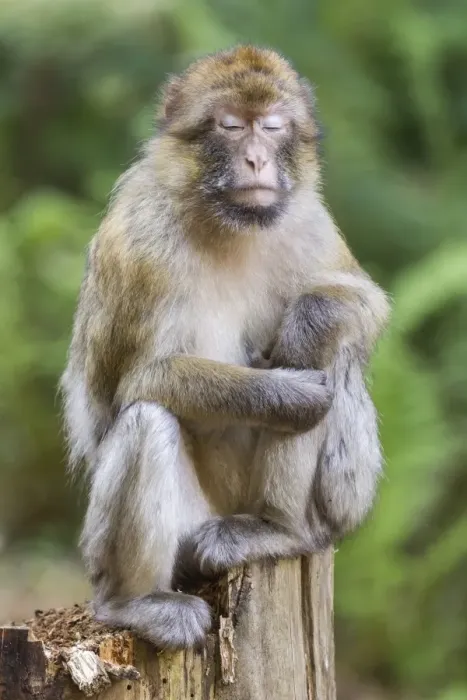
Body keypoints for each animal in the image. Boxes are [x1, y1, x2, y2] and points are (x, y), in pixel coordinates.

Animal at [60, 45, 390, 650]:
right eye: (231, 126)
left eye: (273, 127)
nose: (257, 159)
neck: (228, 224)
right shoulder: (140, 242)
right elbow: (136, 382)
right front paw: (289, 396)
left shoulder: (307, 216)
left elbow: (363, 301)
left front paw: (308, 324)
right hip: (178, 532)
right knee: (148, 420)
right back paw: (132, 603)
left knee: (334, 353)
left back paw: (276, 529)